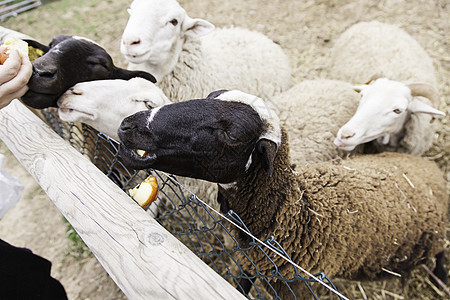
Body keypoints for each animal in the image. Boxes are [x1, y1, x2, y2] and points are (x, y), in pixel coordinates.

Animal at [116, 89, 446, 300]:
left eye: (232, 134)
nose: (129, 125)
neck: (298, 215)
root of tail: (428, 165)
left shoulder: (294, 285)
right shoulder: (248, 264)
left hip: (435, 235)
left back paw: (441, 278)